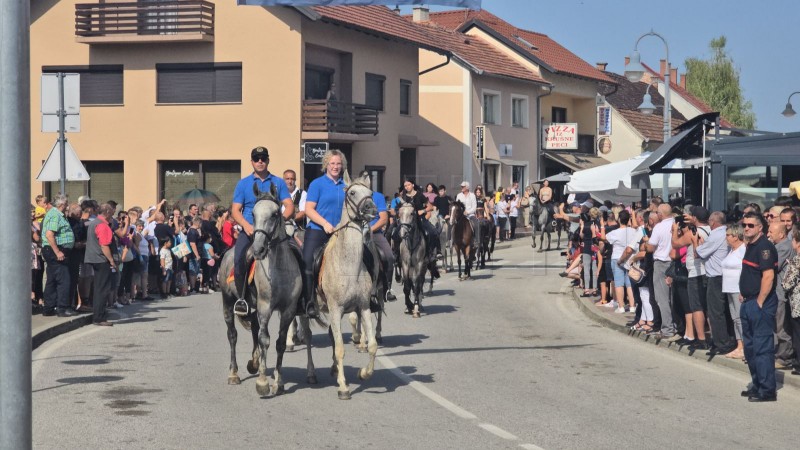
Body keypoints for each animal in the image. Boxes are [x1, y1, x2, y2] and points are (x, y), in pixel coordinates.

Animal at [316, 172, 378, 400]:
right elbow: (341, 348)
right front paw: (343, 387)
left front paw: (364, 373)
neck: (348, 266)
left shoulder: (364, 307)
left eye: (370, 192)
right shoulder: (335, 310)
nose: (371, 209)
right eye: (352, 193)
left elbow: (372, 345)